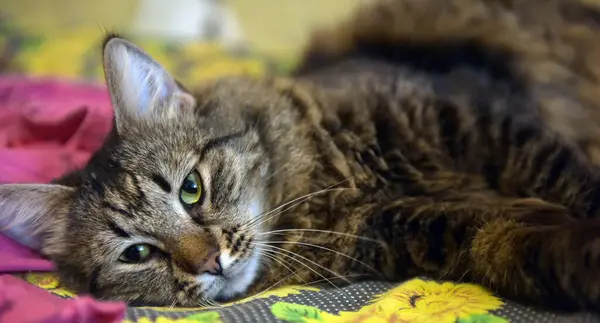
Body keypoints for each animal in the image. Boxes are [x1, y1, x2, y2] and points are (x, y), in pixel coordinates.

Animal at [1, 0, 600, 316]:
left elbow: (572, 180)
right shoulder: (417, 227)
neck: (327, 181)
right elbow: (509, 242)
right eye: (138, 254)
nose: (210, 262)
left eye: (191, 188)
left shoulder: (482, 118)